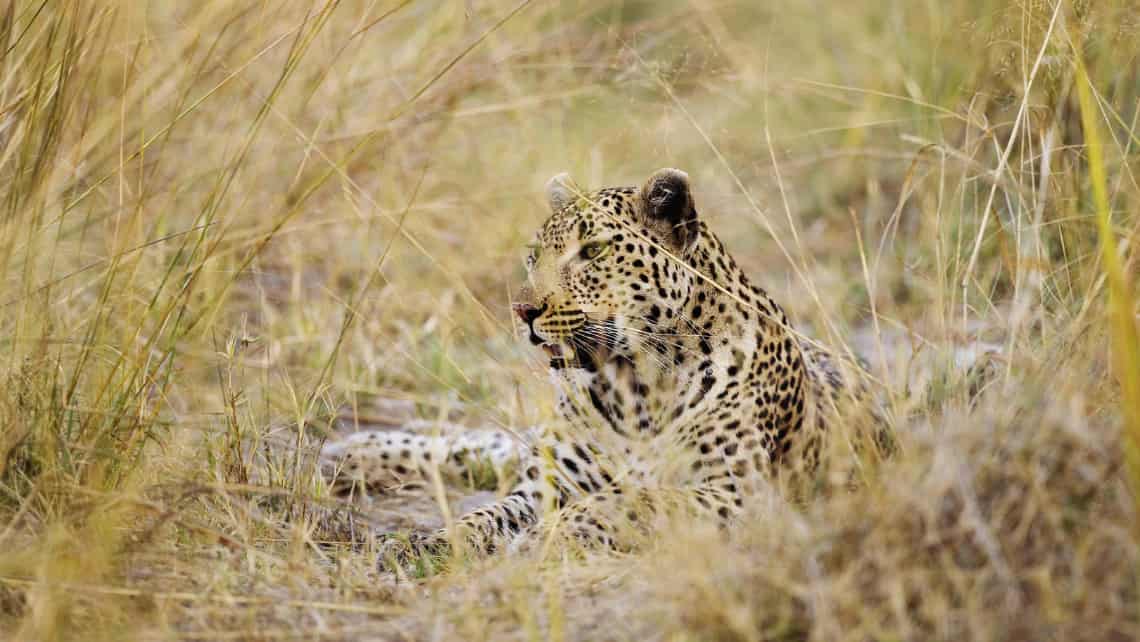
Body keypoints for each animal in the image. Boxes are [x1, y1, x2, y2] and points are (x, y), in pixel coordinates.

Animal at [321, 168, 861, 570]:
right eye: (534, 254)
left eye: (594, 251)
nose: (523, 310)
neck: (636, 386)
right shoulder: (547, 486)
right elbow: (486, 514)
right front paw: (430, 542)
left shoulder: (739, 490)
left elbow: (632, 499)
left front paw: (543, 539)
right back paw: (354, 451)